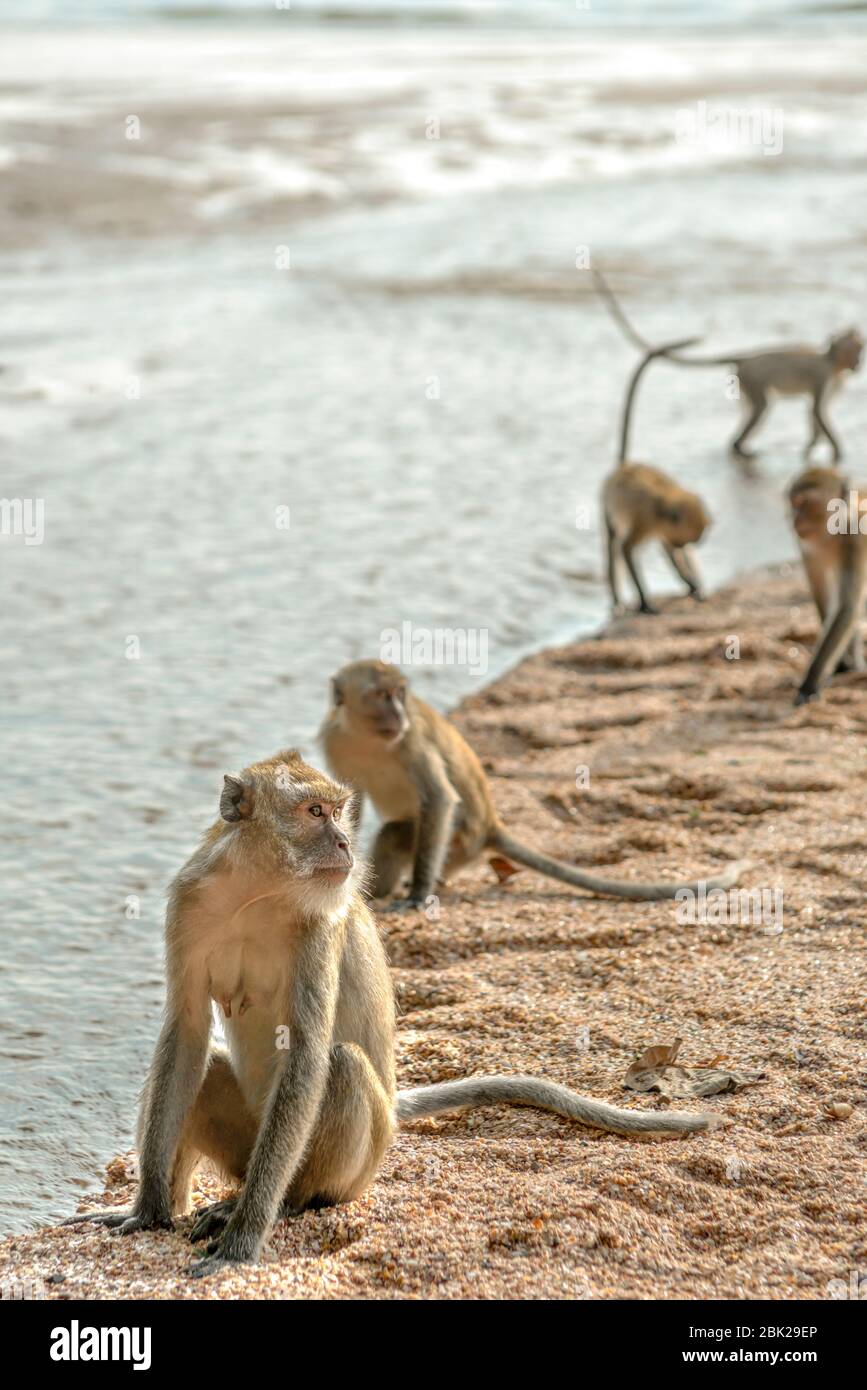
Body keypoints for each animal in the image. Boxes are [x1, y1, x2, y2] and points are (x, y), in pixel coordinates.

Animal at [62, 756, 722, 1273]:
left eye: (338, 811)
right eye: (314, 813)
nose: (345, 844)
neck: (257, 891)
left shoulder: (318, 928)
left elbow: (307, 1050)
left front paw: (243, 1242)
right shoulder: (190, 900)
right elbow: (186, 1032)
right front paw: (147, 1212)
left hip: (357, 1162)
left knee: (342, 1066)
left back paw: (282, 1204)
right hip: (246, 1147)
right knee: (208, 1067)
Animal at [318, 664, 750, 911]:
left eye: (400, 694)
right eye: (380, 695)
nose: (397, 713)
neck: (366, 737)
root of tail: (491, 826)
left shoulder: (411, 741)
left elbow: (439, 799)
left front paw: (417, 895)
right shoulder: (335, 741)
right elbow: (347, 809)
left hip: (459, 842)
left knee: (397, 833)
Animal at [591, 268, 861, 464]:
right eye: (855, 351)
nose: (859, 364)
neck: (832, 361)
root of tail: (746, 357)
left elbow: (815, 412)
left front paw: (812, 446)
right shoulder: (823, 377)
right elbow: (817, 410)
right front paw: (837, 452)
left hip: (742, 382)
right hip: (751, 379)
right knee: (761, 408)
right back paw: (739, 448)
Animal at [783, 469, 867, 706]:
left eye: (804, 502)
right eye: (793, 502)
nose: (794, 519)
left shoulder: (854, 543)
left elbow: (846, 607)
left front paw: (810, 681)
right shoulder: (806, 548)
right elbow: (824, 599)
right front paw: (841, 665)